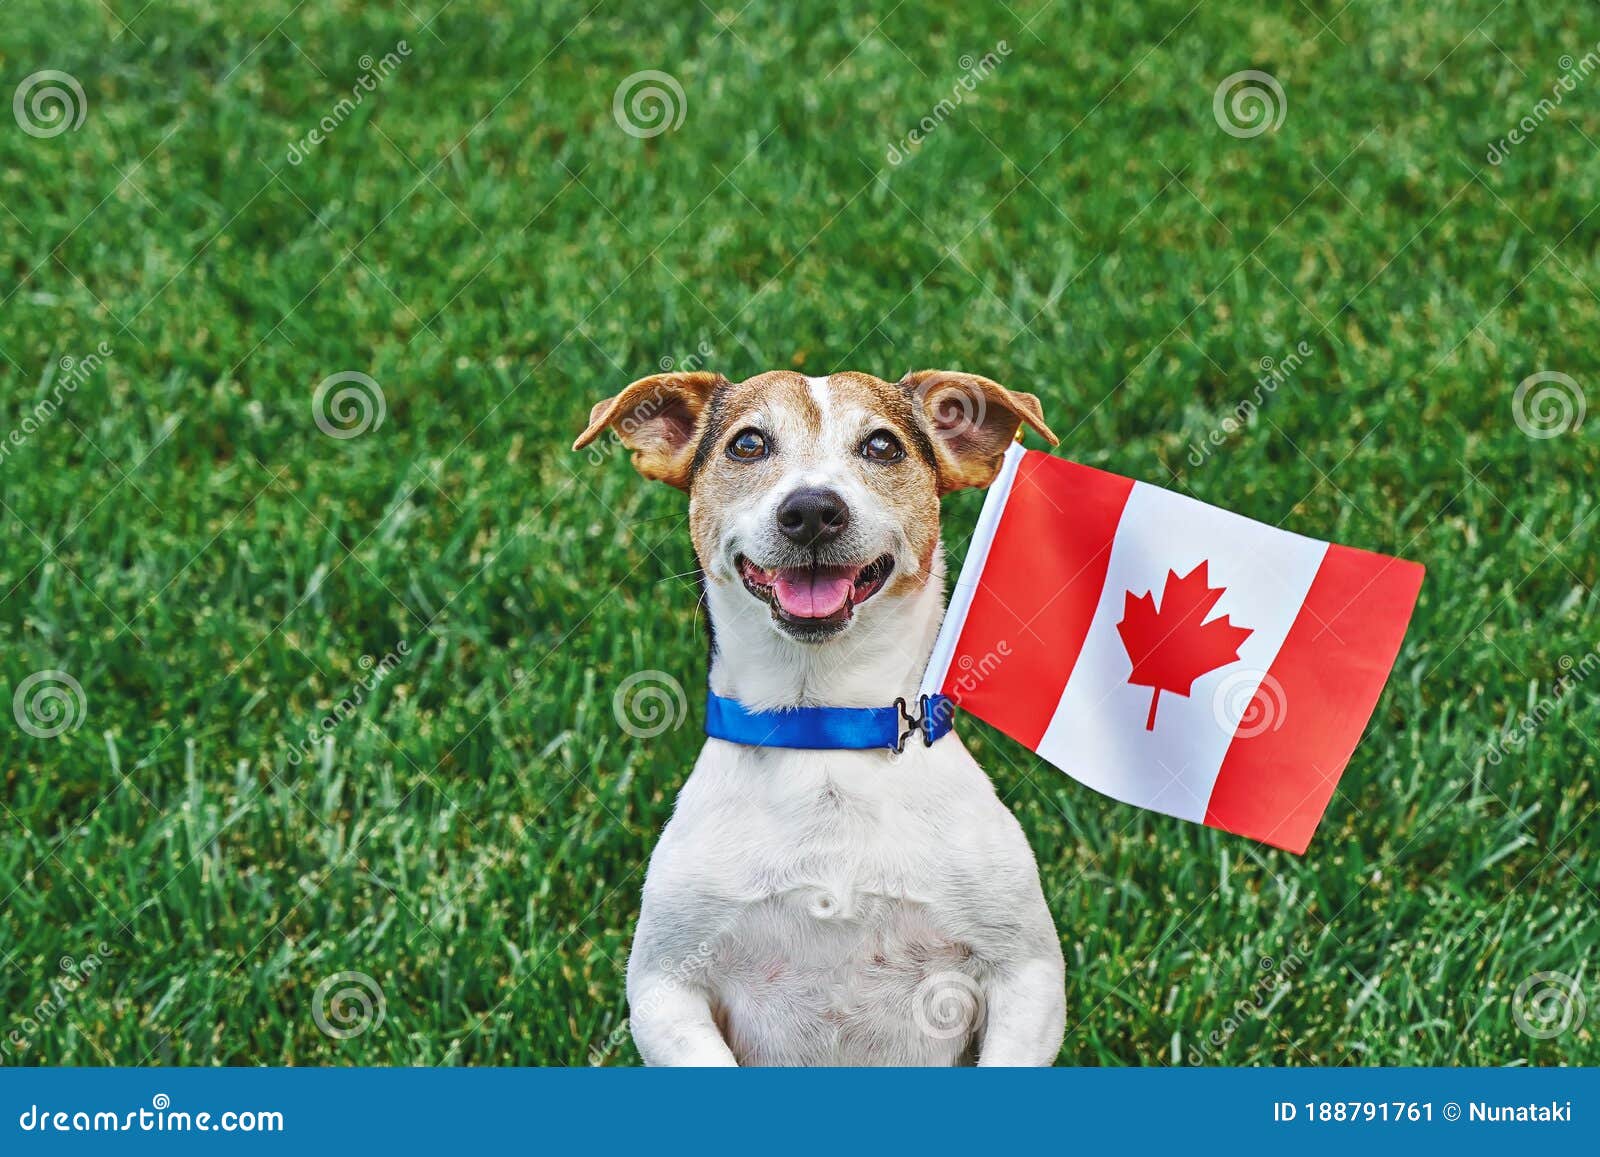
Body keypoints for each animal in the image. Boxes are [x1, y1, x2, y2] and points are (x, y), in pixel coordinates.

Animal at [569, 371, 1068, 1068]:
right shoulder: (665, 988)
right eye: (748, 443)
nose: (810, 510)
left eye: (883, 446)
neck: (824, 726)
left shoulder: (1028, 976)